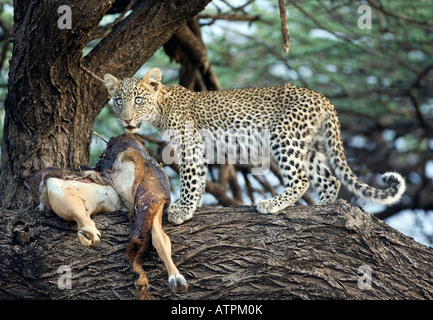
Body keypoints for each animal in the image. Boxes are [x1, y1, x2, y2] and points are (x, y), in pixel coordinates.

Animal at [104, 67, 404, 225]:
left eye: (139, 100)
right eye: (119, 101)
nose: (127, 119)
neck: (161, 108)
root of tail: (322, 97)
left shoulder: (191, 145)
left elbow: (190, 179)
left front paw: (182, 209)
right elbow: (199, 180)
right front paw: (193, 207)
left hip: (284, 136)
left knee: (301, 179)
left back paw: (272, 204)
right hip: (309, 146)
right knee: (331, 179)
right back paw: (320, 208)